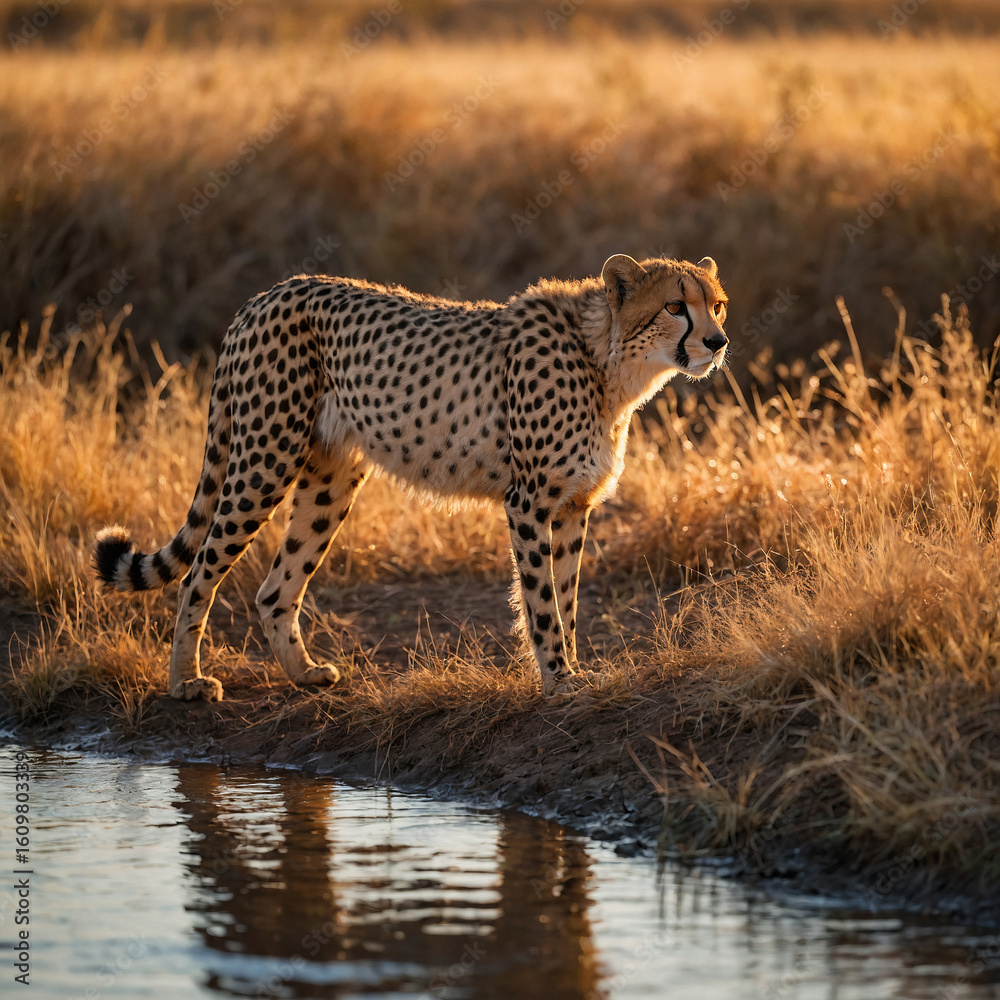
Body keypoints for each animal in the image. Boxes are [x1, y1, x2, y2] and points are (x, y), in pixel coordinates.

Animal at [95, 253, 728, 702]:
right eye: (675, 306)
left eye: (717, 304)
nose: (718, 342)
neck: (610, 362)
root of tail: (266, 294)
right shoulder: (528, 503)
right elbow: (542, 602)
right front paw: (558, 680)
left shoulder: (574, 506)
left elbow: (567, 599)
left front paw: (573, 668)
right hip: (264, 460)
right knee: (197, 573)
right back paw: (185, 683)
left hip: (330, 481)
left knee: (276, 587)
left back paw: (304, 674)